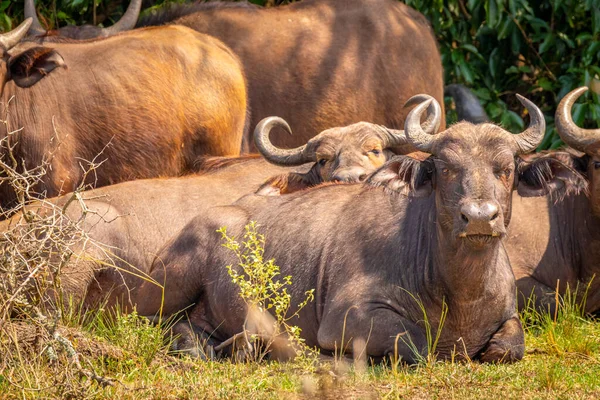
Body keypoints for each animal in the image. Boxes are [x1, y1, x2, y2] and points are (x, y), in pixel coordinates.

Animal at [129, 94, 576, 362]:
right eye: (445, 168)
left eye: (506, 169)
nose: (480, 216)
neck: (459, 291)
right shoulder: (348, 318)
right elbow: (419, 344)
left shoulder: (510, 313)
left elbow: (510, 346)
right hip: (165, 289)